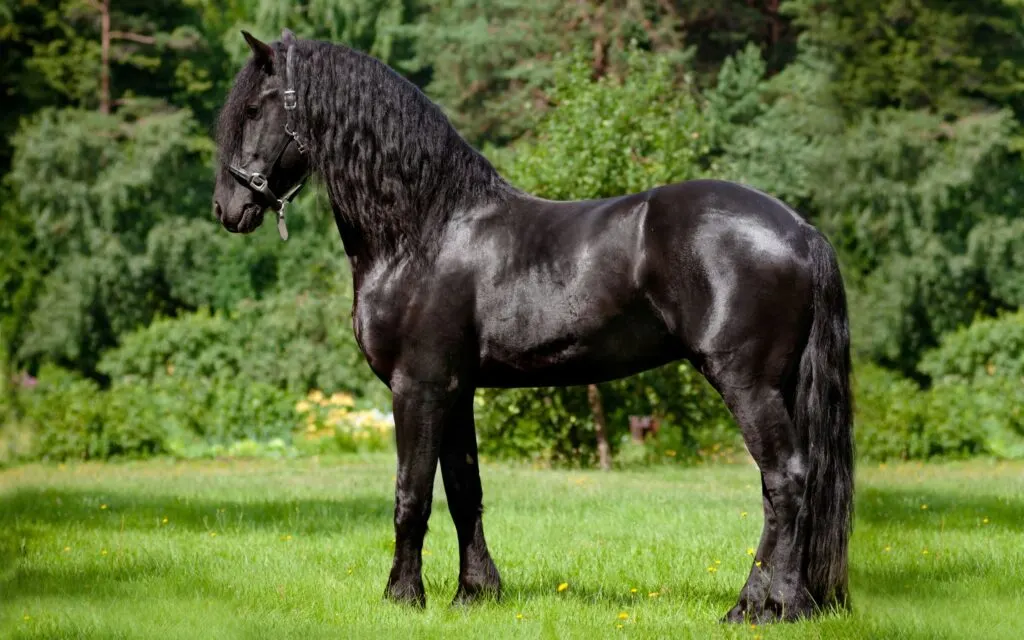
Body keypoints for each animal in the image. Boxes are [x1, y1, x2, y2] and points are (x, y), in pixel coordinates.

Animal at [211, 28, 851, 618]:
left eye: (254, 108)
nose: (226, 208)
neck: (424, 231)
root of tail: (800, 230)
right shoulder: (455, 390)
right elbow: (463, 490)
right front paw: (475, 593)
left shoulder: (417, 387)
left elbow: (410, 494)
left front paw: (403, 596)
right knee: (783, 486)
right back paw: (772, 604)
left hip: (748, 384)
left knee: (786, 480)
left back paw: (766, 606)